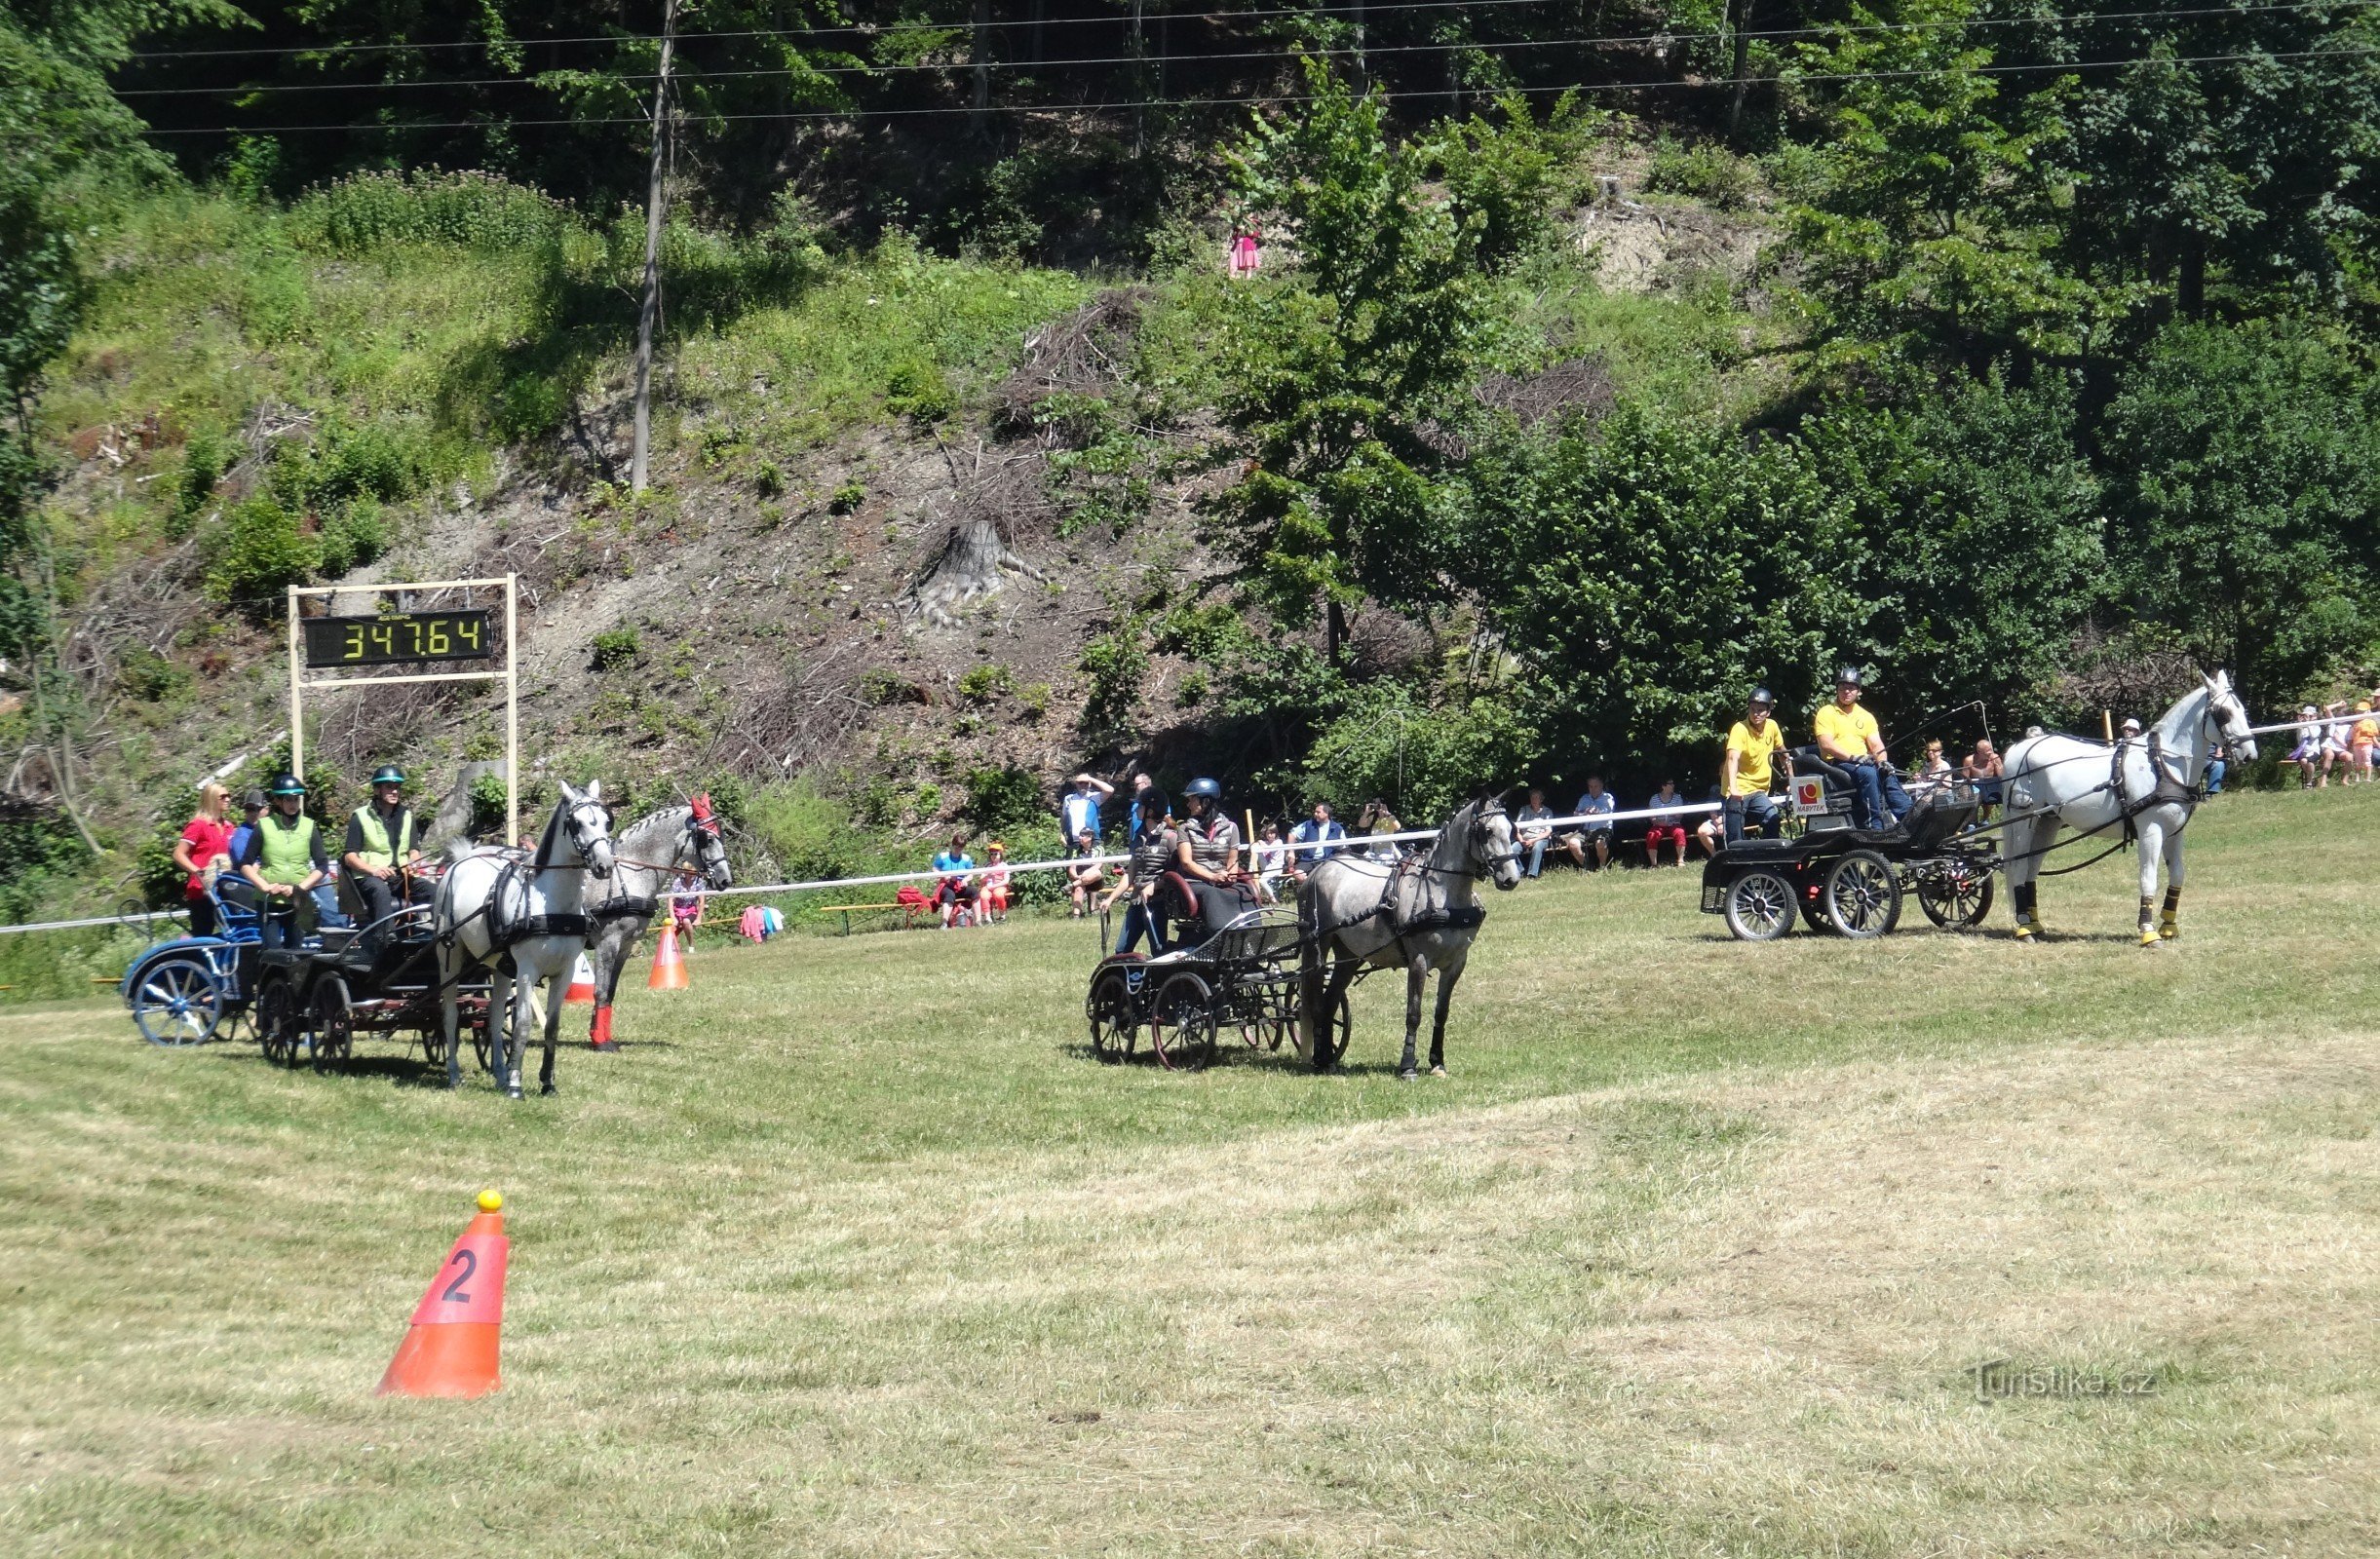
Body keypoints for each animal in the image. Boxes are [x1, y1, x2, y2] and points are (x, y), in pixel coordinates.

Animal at [433, 780, 614, 1099]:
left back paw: (499, 1074)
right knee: (450, 1014)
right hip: (450, 960)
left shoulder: (565, 971)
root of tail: (462, 861)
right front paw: (517, 1085)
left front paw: (547, 1082)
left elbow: (551, 1027)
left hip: (500, 967)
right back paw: (455, 1074)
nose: (604, 865)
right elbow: (523, 1024)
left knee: (493, 1018)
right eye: (577, 824)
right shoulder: (528, 969)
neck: (552, 904)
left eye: (606, 822)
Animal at [583, 804, 728, 1046]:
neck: (627, 875)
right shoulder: (607, 942)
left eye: (721, 835)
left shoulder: (625, 945)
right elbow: (600, 991)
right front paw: (601, 1042)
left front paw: (601, 1035)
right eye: (707, 839)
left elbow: (610, 991)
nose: (726, 879)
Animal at [1304, 799, 1522, 1081]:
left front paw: (1438, 1062)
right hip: (1317, 947)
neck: (1444, 895)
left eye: (1511, 828)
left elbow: (1441, 1012)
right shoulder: (1419, 961)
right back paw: (1319, 1058)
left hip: (1348, 955)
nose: (1510, 879)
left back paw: (1327, 1059)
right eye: (1487, 831)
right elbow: (1414, 1013)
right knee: (1316, 1001)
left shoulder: (1456, 964)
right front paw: (1408, 1065)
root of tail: (1320, 868)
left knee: (1331, 1000)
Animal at [1999, 665, 2256, 947]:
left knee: (2031, 869)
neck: (2162, 763)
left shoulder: (2175, 832)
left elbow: (2178, 874)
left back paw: (2034, 923)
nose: (2250, 755)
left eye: (2242, 709)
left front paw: (2169, 926)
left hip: (2048, 822)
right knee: (2018, 866)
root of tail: (2019, 748)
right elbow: (2149, 878)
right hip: (2024, 820)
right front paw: (2149, 931)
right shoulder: (2150, 831)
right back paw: (2024, 928)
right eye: (2224, 713)